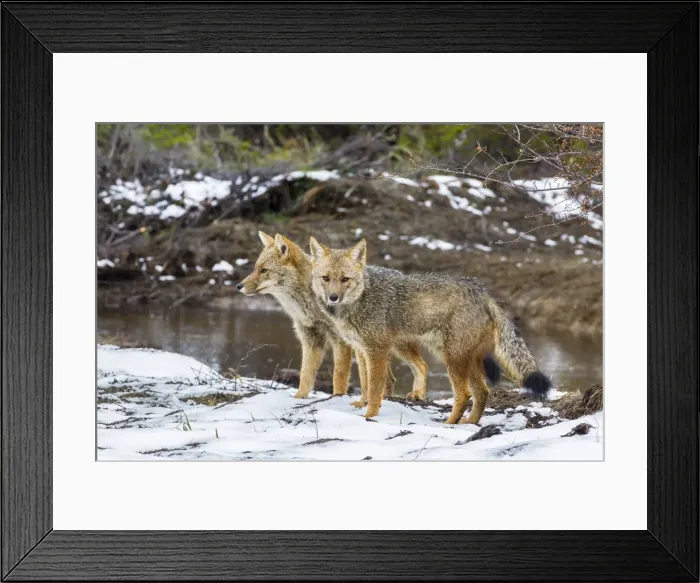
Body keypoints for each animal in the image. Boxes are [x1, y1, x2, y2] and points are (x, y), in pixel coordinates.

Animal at [236, 232, 430, 400]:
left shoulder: (341, 340)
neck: (310, 305)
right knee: (390, 379)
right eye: (255, 268)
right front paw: (299, 398)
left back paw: (417, 394)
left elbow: (339, 375)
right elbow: (305, 377)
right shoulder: (310, 340)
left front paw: (337, 397)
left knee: (422, 365)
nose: (238, 286)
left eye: (264, 270)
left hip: (394, 345)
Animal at [309, 237, 551, 423]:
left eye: (345, 279)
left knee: (464, 394)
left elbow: (376, 388)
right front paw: (361, 404)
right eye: (326, 278)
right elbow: (365, 383)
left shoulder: (377, 351)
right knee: (482, 392)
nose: (333, 297)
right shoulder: (361, 350)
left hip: (451, 359)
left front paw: (369, 415)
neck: (360, 300)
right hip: (459, 359)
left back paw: (450, 423)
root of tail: (482, 292)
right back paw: (469, 423)